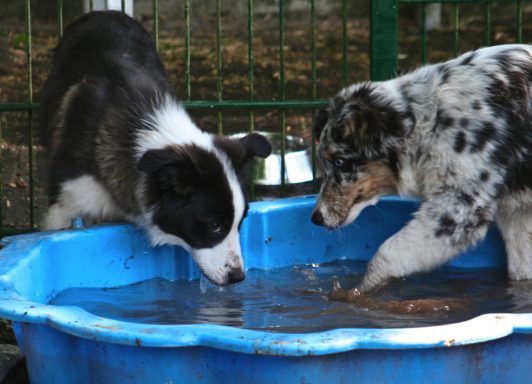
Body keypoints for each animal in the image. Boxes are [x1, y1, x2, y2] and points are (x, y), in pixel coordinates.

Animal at [312, 44, 532, 292]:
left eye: (339, 162)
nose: (316, 218)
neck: (428, 123)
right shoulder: (518, 214)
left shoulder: (460, 206)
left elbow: (389, 253)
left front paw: (356, 293)